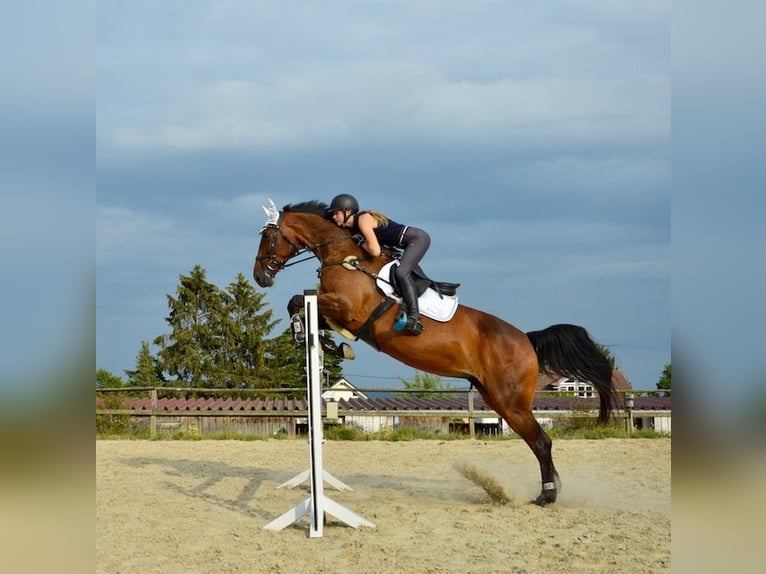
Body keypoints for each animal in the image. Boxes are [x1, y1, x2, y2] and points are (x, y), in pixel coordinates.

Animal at [255, 200, 620, 506]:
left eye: (267, 237)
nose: (260, 277)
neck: (344, 255)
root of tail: (527, 340)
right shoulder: (335, 310)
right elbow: (304, 309)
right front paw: (329, 343)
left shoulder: (347, 308)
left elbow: (298, 301)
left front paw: (308, 334)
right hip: (496, 397)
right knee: (537, 442)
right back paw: (548, 490)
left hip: (511, 402)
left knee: (542, 442)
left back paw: (546, 496)